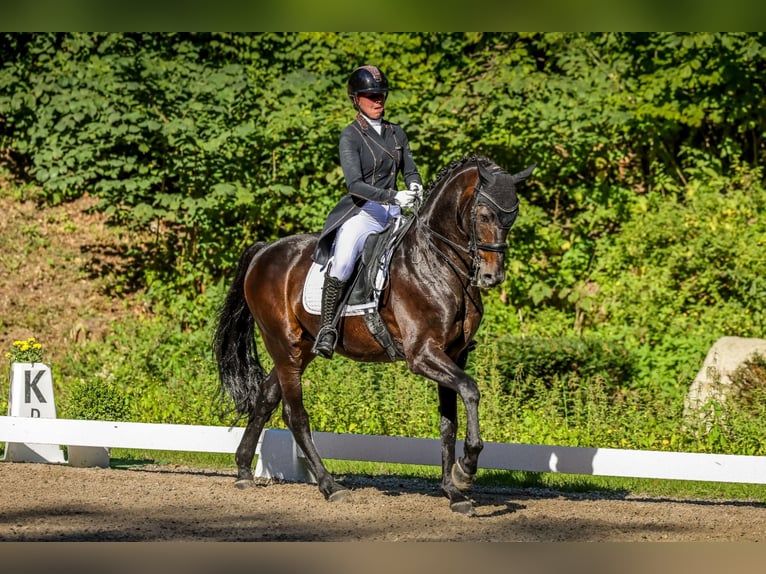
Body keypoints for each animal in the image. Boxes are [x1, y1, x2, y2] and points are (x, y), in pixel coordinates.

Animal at [210, 154, 536, 516]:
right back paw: (330, 486)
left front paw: (454, 492)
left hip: (300, 348)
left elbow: (448, 422)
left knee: (267, 397)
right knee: (295, 415)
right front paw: (465, 471)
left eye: (512, 217)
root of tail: (265, 249)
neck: (438, 260)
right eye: (484, 215)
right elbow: (471, 390)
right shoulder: (423, 354)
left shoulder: (454, 354)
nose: (493, 277)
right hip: (285, 345)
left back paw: (242, 470)